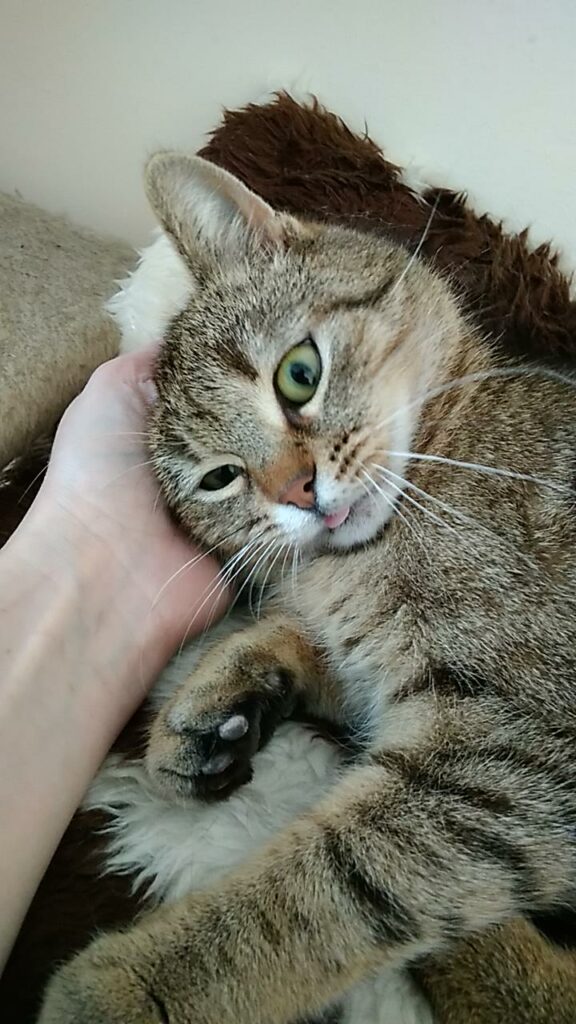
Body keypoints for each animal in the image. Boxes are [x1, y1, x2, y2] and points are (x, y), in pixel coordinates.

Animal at [38, 152, 576, 1024]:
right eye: (219, 478)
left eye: (300, 374)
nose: (298, 492)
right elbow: (309, 649)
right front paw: (216, 701)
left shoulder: (507, 757)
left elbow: (317, 893)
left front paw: (138, 985)